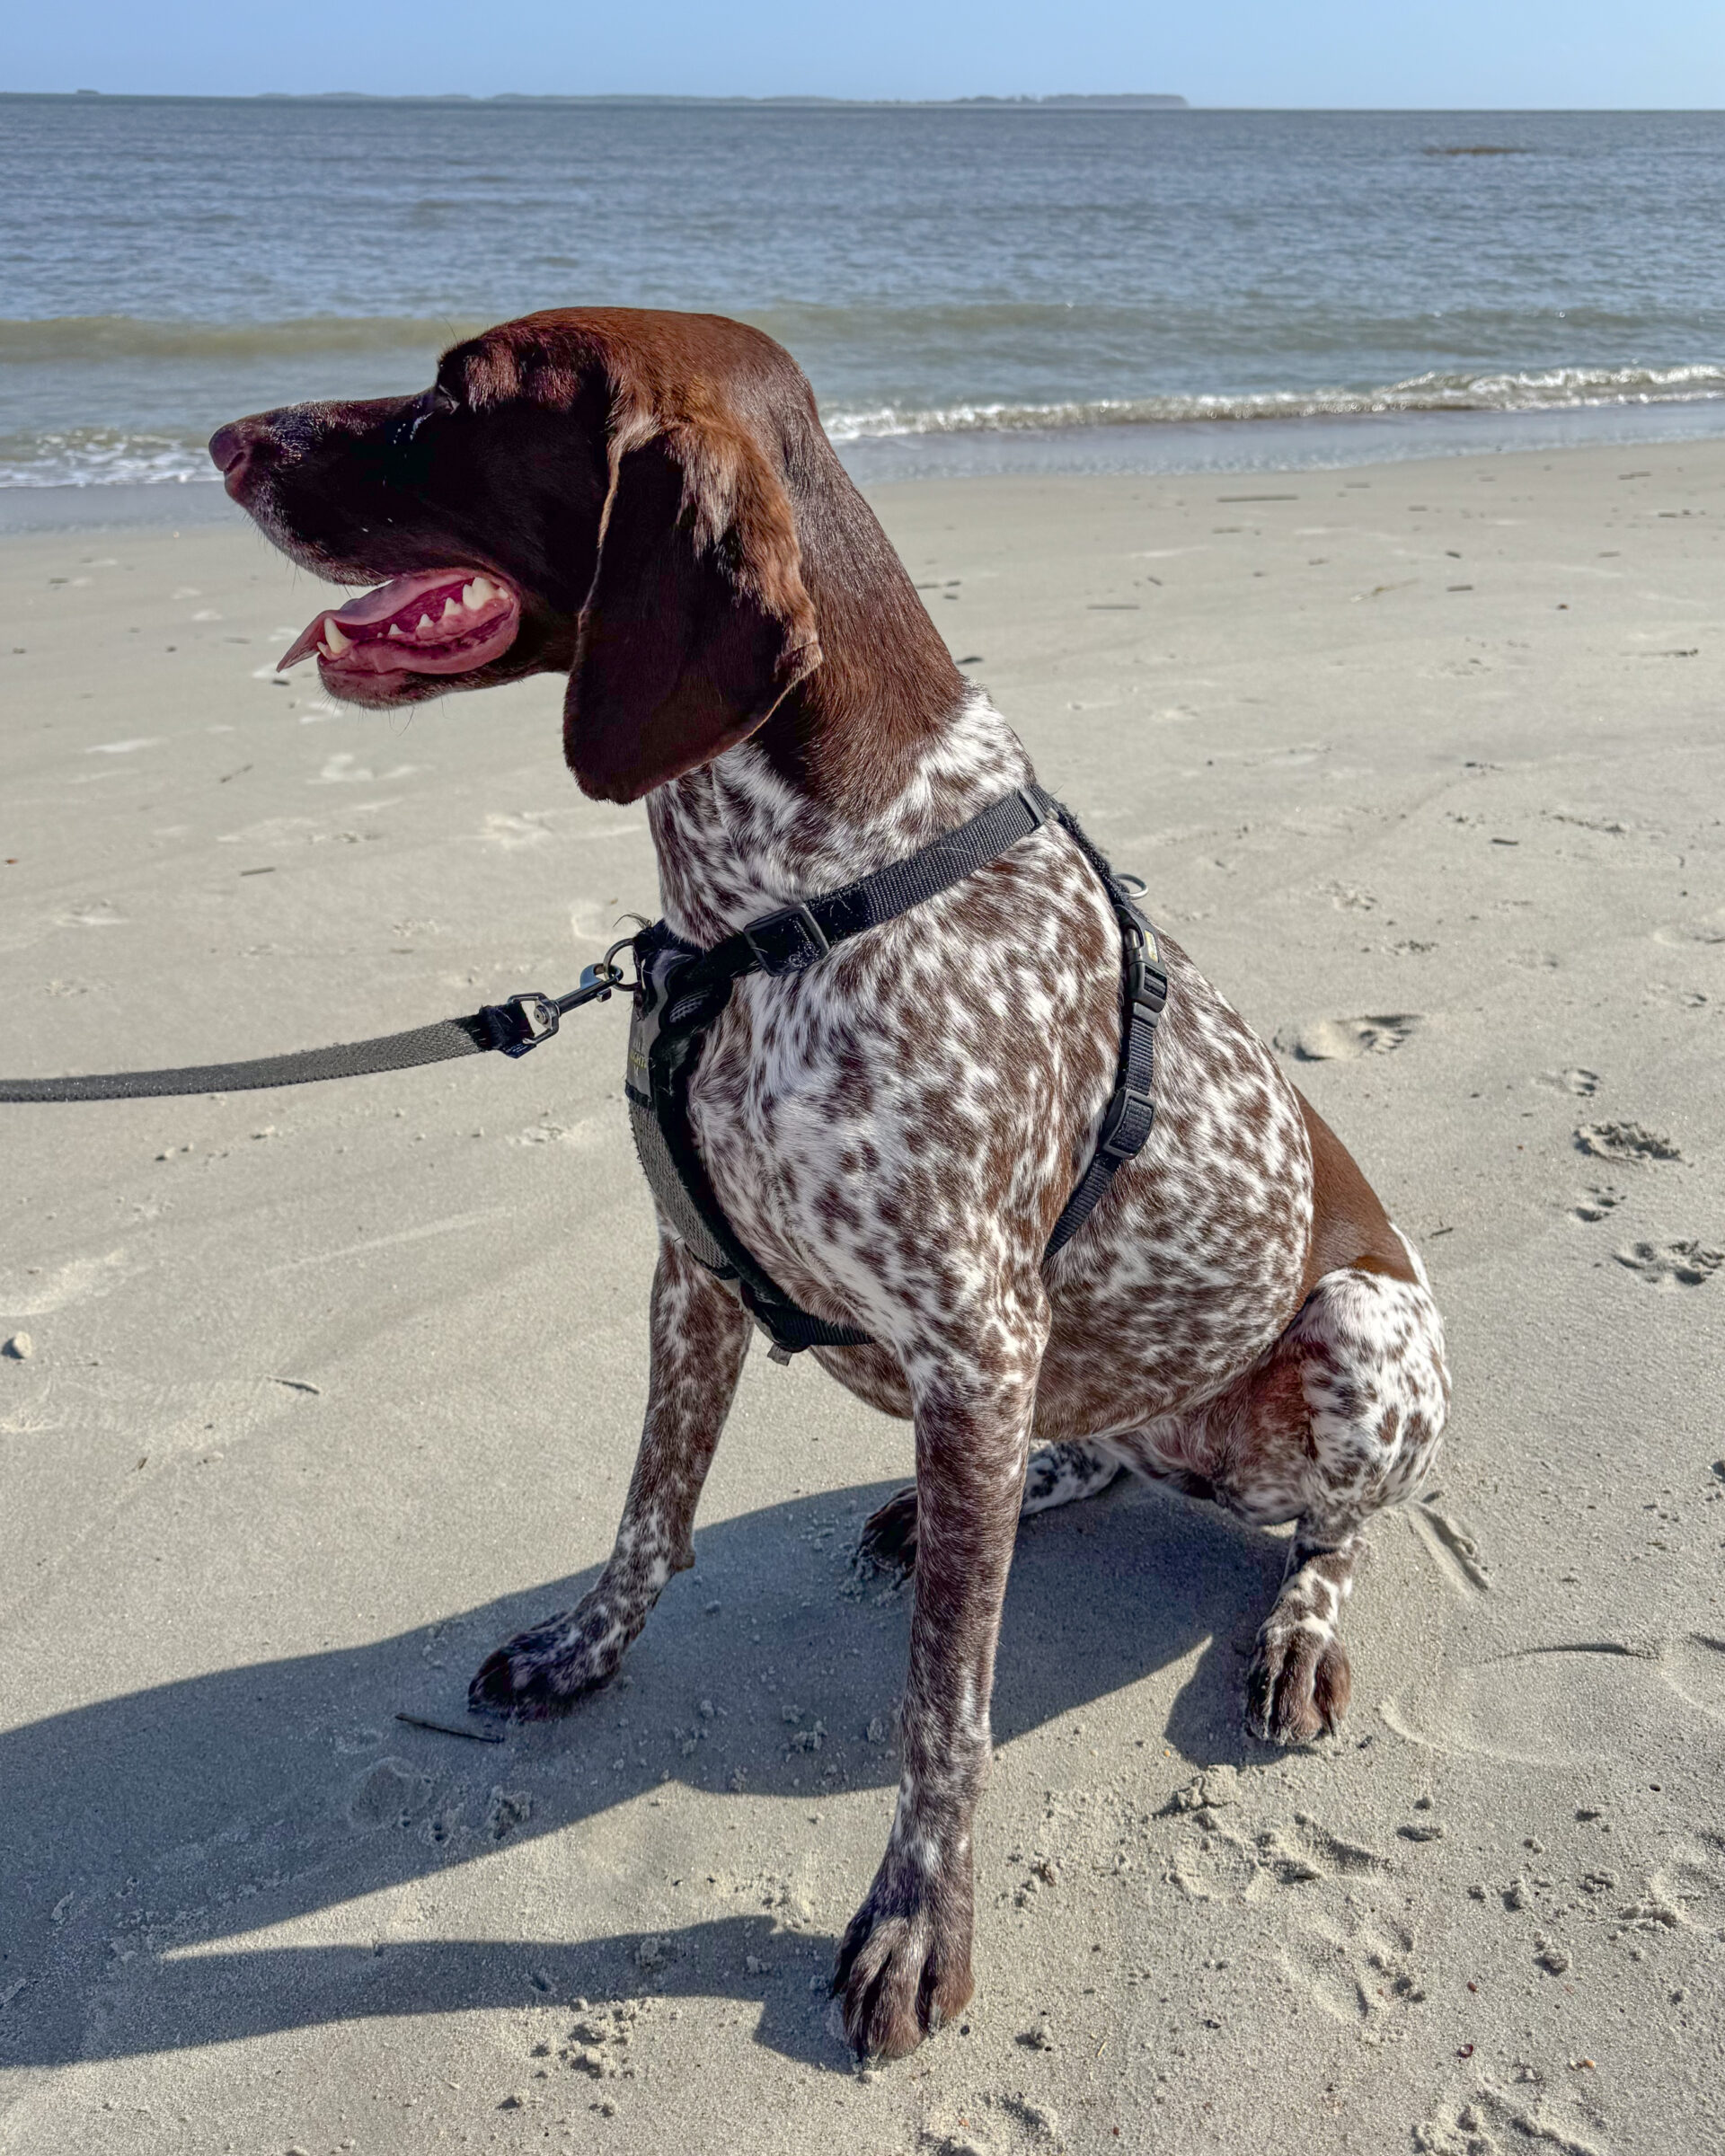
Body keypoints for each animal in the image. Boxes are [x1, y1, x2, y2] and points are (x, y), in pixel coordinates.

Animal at [218, 313, 1457, 2061]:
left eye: (458, 396)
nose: (225, 442)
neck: (781, 904)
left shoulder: (975, 1339)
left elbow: (945, 1708)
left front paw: (919, 1917)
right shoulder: (695, 1276)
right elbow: (646, 1518)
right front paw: (582, 1650)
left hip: (1360, 1330)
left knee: (1336, 1530)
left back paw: (1293, 1631)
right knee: (1091, 1453)